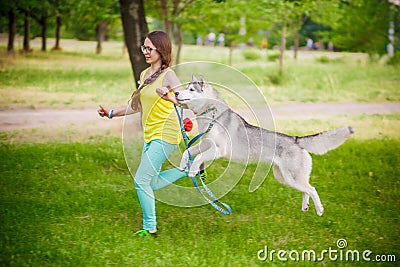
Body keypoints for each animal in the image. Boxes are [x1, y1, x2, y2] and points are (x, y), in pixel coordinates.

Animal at [177, 74, 354, 217]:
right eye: (186, 88)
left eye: (191, 89)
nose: (176, 93)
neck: (211, 114)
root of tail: (295, 139)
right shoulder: (204, 144)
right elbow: (188, 151)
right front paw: (183, 165)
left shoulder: (219, 150)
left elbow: (198, 157)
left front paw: (192, 170)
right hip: (285, 177)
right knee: (306, 189)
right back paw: (305, 207)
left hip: (291, 177)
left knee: (312, 189)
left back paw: (319, 210)